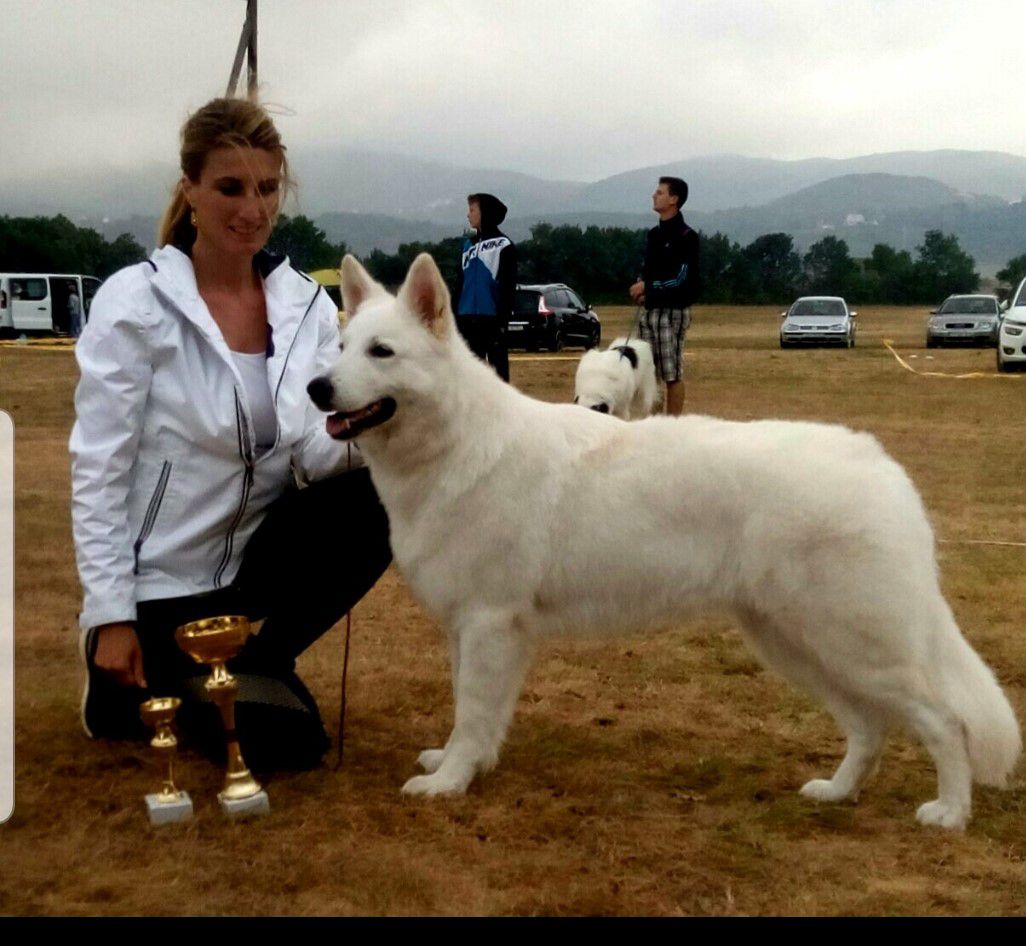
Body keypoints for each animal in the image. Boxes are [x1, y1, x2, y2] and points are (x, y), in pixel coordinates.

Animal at [307, 250, 1021, 824]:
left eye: (381, 353)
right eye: (340, 350)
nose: (315, 387)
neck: (456, 443)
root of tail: (878, 464)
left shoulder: (489, 624)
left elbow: (474, 711)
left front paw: (450, 781)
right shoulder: (470, 631)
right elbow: (471, 711)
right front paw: (465, 764)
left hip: (851, 644)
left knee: (944, 721)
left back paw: (949, 812)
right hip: (798, 644)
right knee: (870, 726)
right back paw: (837, 793)